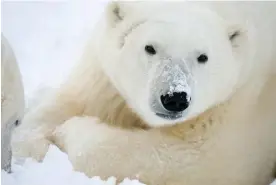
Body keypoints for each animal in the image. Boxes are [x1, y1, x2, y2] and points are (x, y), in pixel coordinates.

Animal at [11, 1, 274, 185]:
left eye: (203, 57)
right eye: (150, 47)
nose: (174, 98)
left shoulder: (244, 98)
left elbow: (199, 157)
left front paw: (70, 130)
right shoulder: (103, 73)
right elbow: (69, 101)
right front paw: (31, 146)